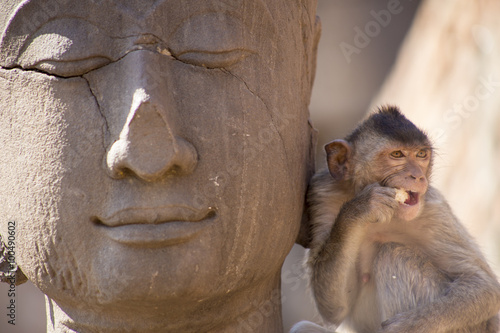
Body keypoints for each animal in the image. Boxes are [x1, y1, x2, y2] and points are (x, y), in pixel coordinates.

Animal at [292, 107, 500, 332]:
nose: (418, 176)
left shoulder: (434, 211)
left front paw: (407, 326)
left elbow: (483, 286)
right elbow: (335, 308)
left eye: (421, 154)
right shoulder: (322, 193)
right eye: (397, 154)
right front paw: (361, 208)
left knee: (394, 254)